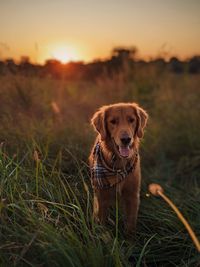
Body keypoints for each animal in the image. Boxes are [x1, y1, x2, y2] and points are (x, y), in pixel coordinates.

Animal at [88, 103, 148, 233]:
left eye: (131, 120)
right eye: (113, 121)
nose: (126, 139)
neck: (119, 166)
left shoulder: (132, 196)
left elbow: (130, 225)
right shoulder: (101, 197)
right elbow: (102, 222)